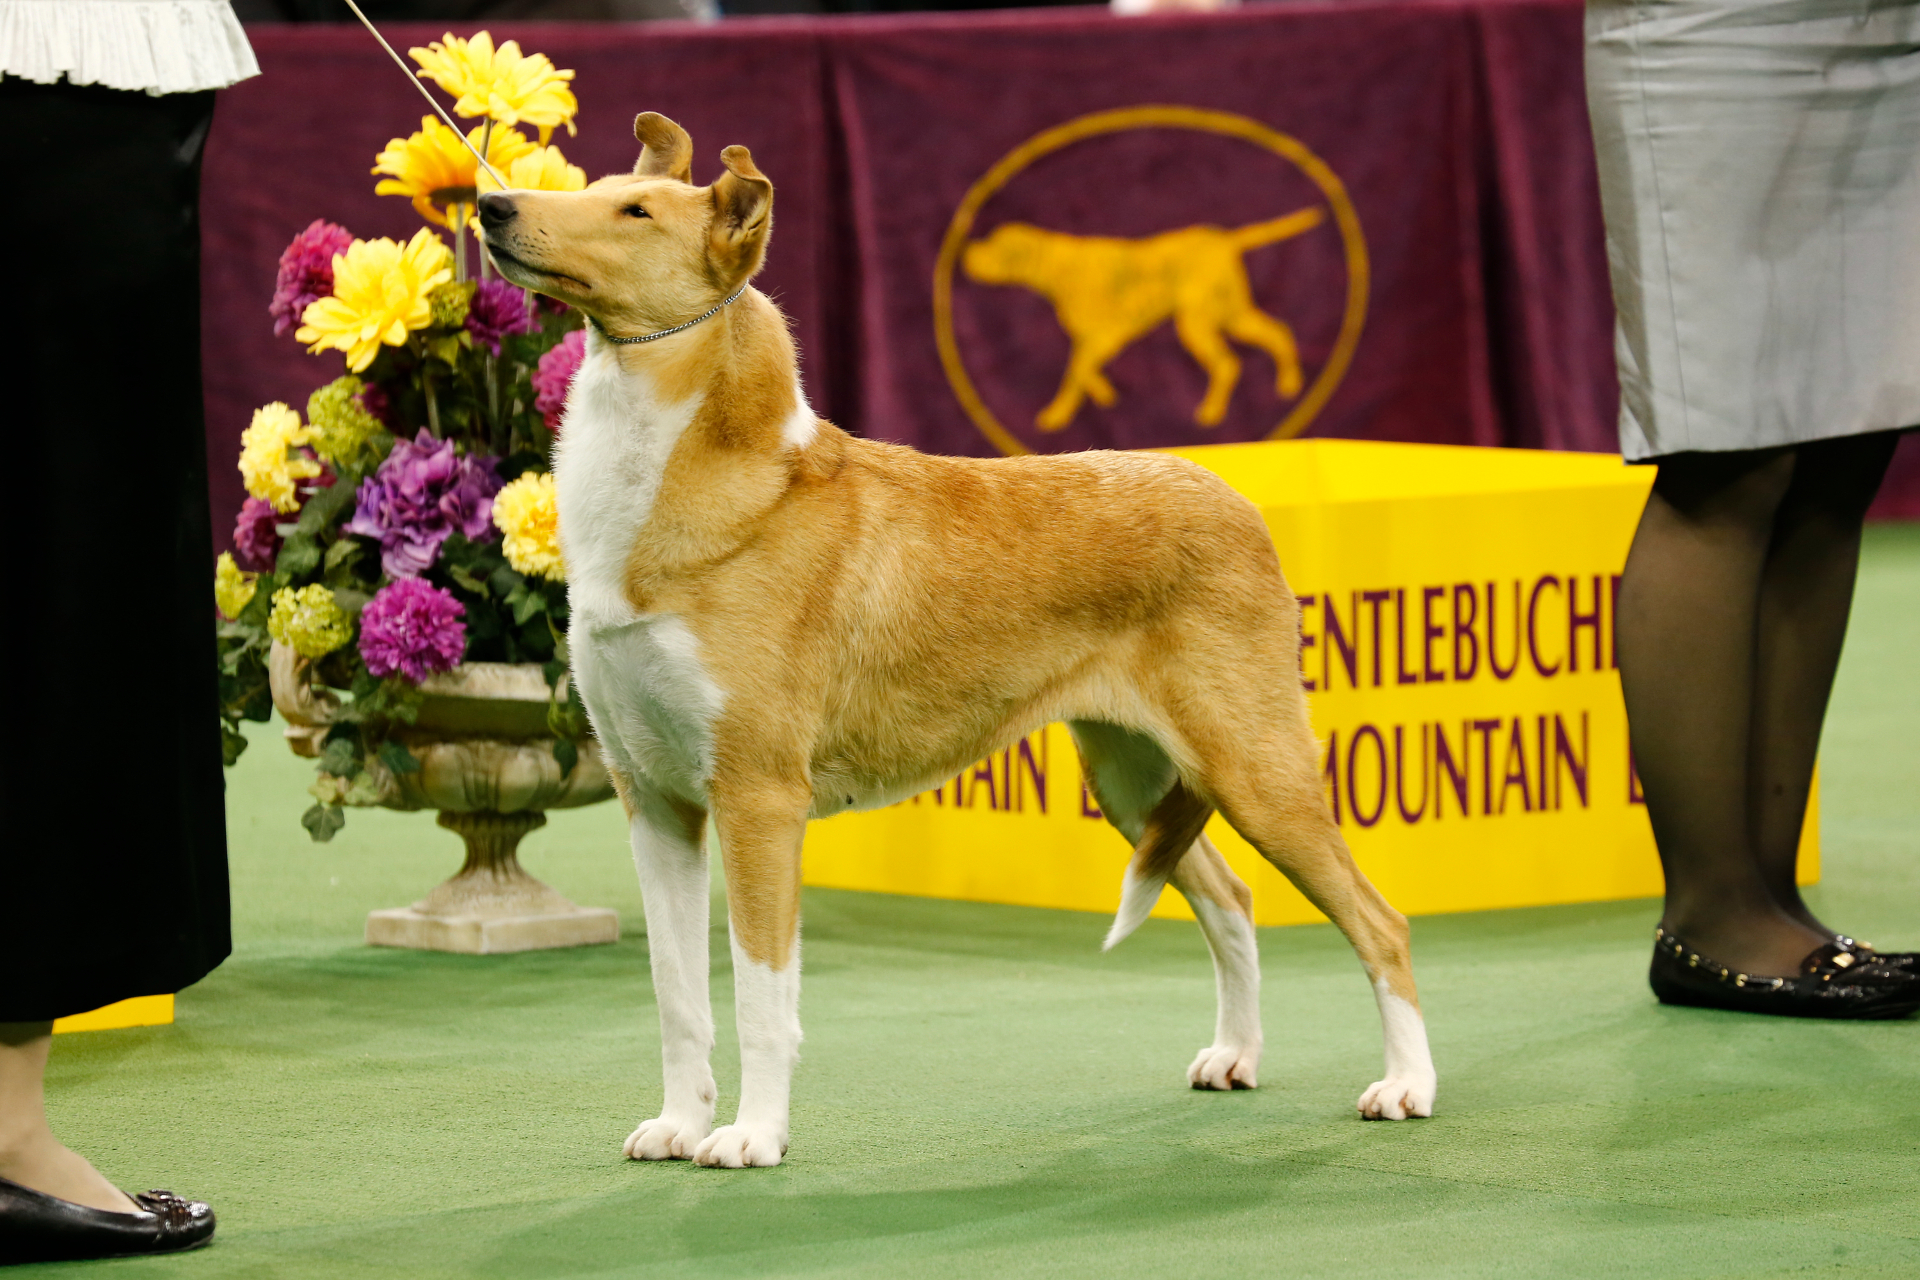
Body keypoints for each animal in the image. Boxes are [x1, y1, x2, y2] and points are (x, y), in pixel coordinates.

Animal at [480, 115, 1443, 1166]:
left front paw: (752, 1138)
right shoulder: (653, 799)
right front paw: (680, 1125)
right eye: (596, 193)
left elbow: (762, 998)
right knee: (1231, 896)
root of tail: (1236, 497)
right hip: (1135, 778)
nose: (491, 206)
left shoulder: (757, 799)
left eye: (635, 213)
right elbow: (678, 997)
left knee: (1383, 924)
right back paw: (1235, 1056)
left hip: (1256, 769)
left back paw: (1406, 1086)